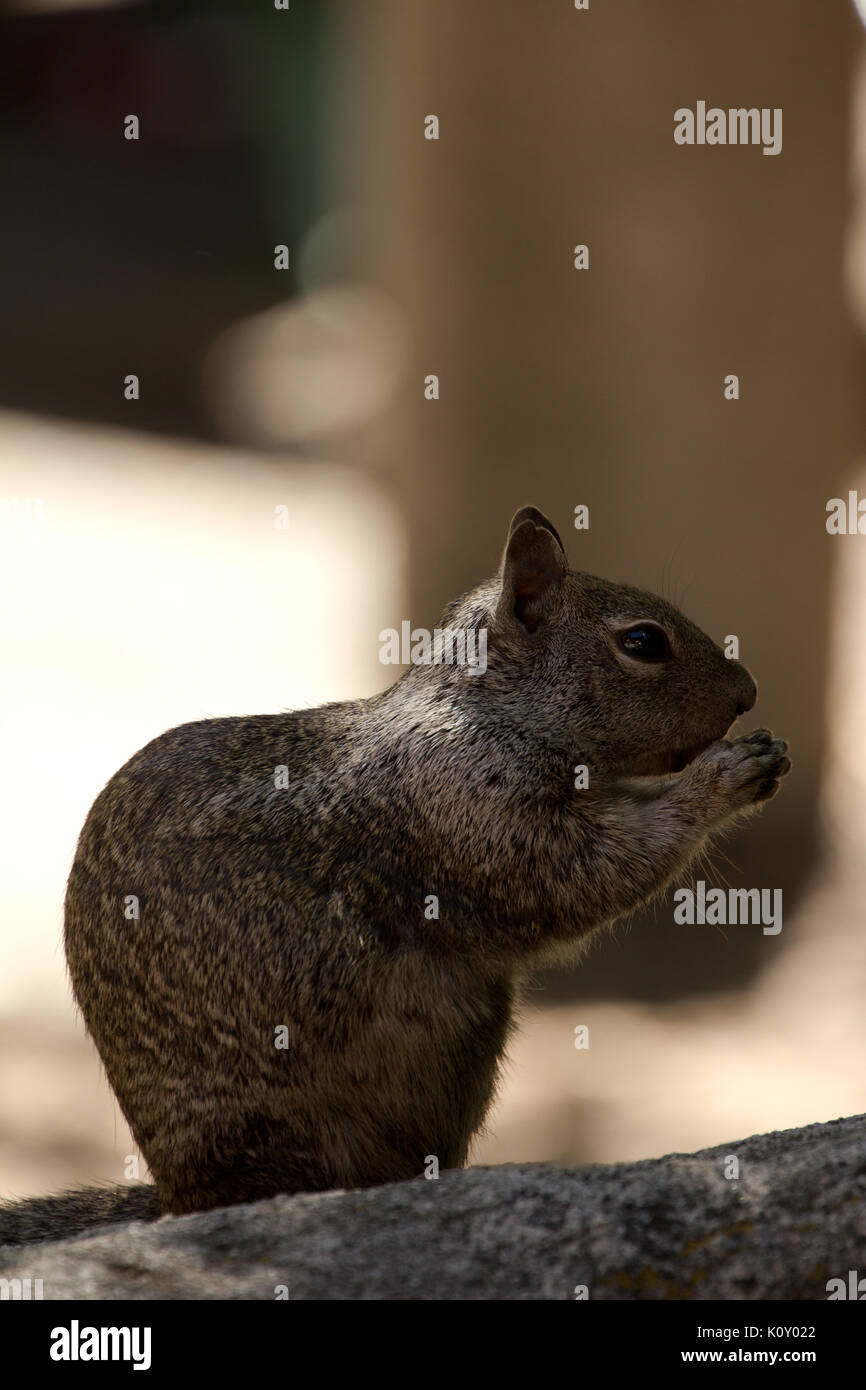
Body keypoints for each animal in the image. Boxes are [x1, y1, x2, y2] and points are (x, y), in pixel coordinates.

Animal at [0, 505, 789, 1245]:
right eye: (643, 642)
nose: (750, 691)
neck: (489, 713)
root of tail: (177, 1196)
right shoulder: (477, 816)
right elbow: (585, 875)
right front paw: (724, 776)